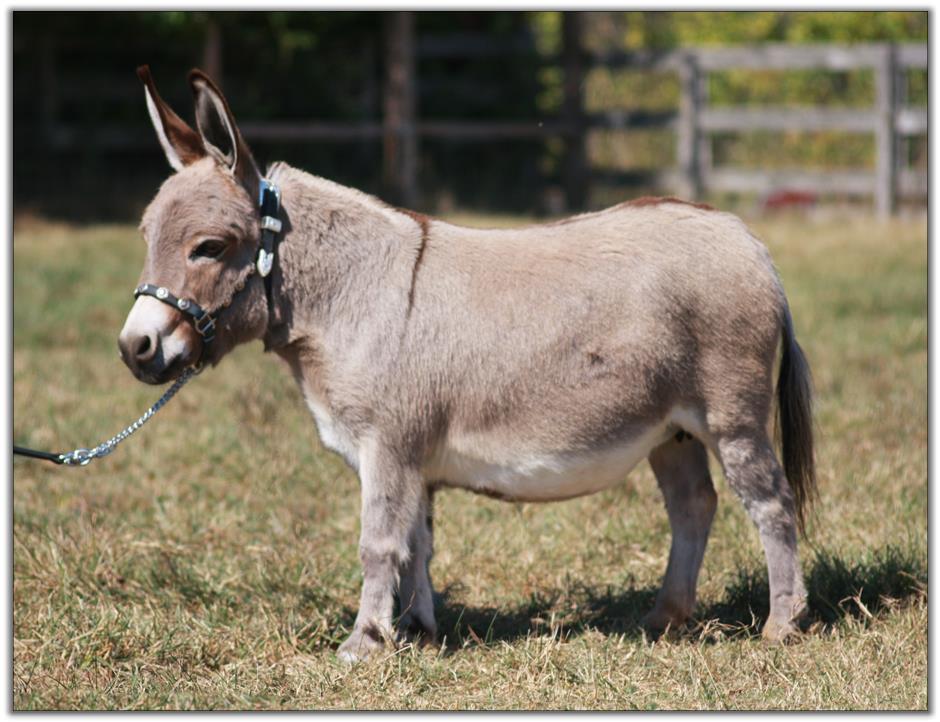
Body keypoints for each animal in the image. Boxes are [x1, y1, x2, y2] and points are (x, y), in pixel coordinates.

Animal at [118, 66, 816, 662]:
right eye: (146, 236)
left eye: (210, 247)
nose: (135, 348)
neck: (351, 294)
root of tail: (747, 239)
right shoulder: (415, 462)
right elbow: (417, 545)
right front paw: (416, 632)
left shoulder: (388, 445)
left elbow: (378, 545)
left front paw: (362, 645)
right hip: (669, 429)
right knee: (693, 504)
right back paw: (665, 618)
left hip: (731, 416)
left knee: (771, 503)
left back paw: (781, 626)